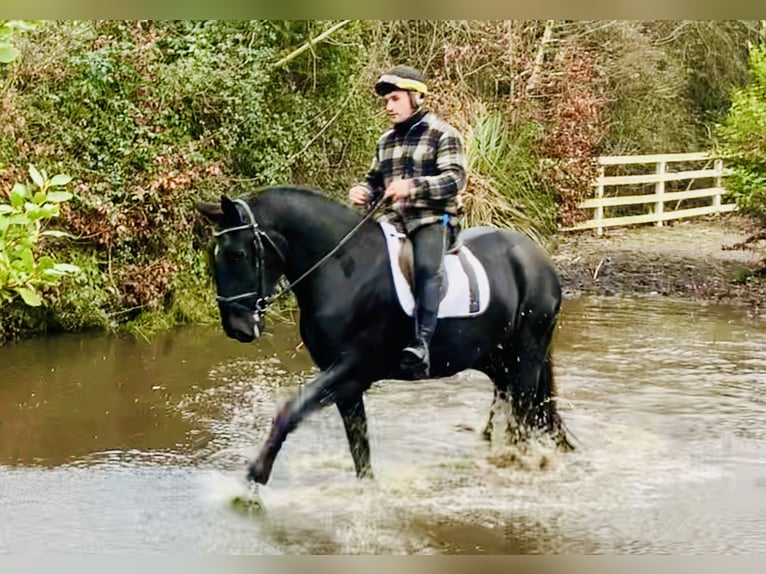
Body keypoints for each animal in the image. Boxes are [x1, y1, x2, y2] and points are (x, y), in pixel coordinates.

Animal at [195, 189, 572, 486]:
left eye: (237, 254)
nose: (237, 328)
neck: (343, 269)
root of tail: (538, 258)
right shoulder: (346, 383)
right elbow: (359, 446)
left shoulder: (350, 368)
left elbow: (290, 412)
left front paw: (255, 477)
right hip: (497, 362)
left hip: (525, 360)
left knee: (522, 422)